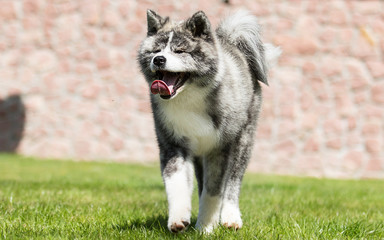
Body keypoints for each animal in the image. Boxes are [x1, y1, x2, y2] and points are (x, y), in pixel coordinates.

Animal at [137, 9, 280, 232]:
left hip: (243, 142)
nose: (159, 59)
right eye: (156, 50)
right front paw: (179, 219)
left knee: (232, 184)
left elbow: (214, 191)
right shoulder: (173, 145)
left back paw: (230, 217)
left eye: (180, 51)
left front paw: (205, 227)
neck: (190, 98)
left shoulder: (219, 149)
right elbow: (176, 184)